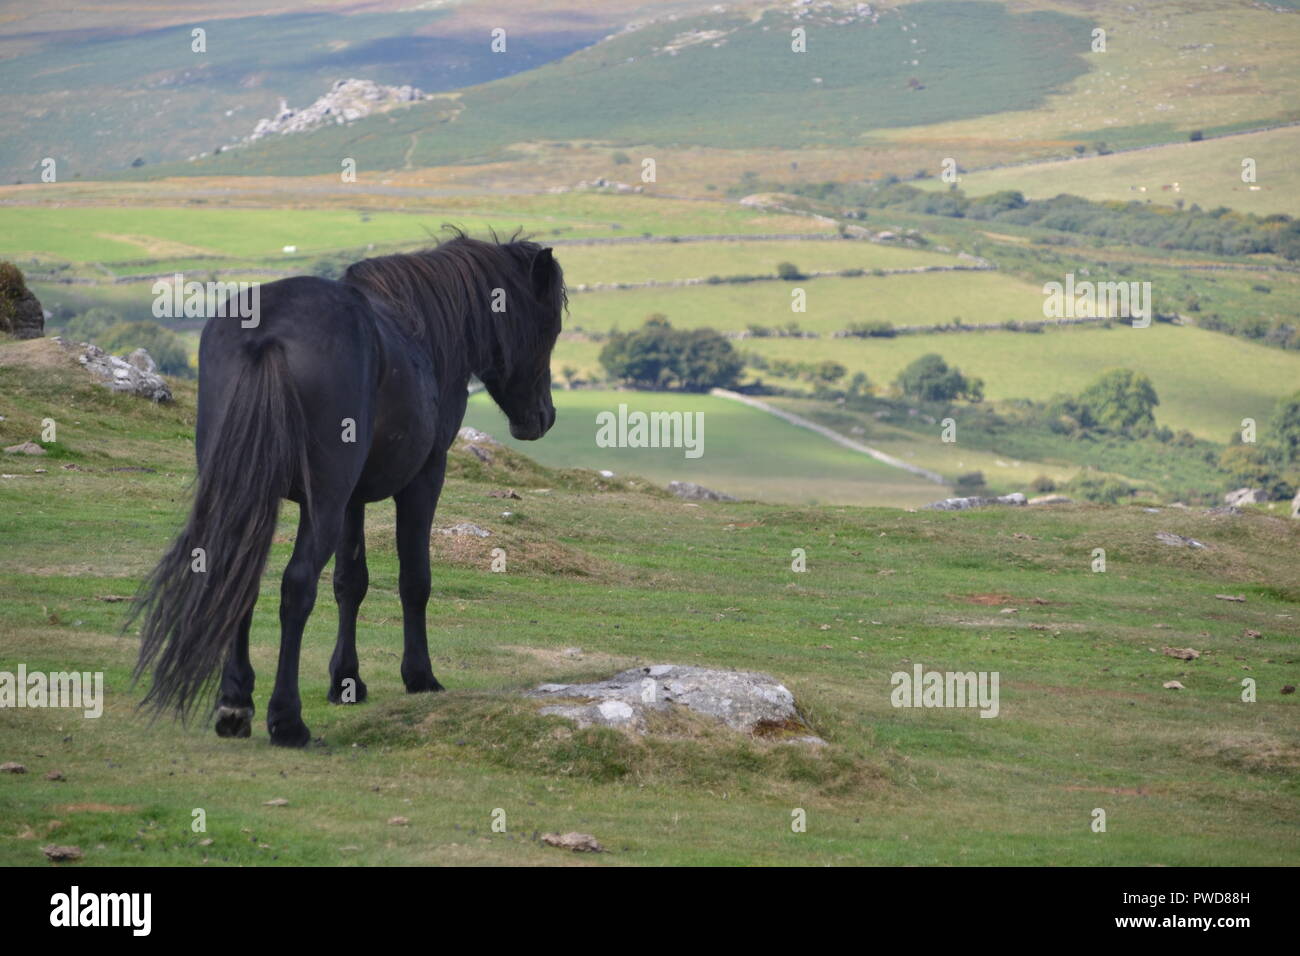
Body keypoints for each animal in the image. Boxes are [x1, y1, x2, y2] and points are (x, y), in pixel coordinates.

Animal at [128, 232, 565, 746]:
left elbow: (349, 582)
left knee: (238, 575)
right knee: (297, 585)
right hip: (324, 500)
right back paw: (286, 719)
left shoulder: (353, 499)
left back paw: (235, 702)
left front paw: (346, 681)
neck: (425, 329)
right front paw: (419, 676)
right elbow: (414, 579)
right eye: (550, 326)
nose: (542, 418)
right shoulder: (423, 477)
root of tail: (265, 335)